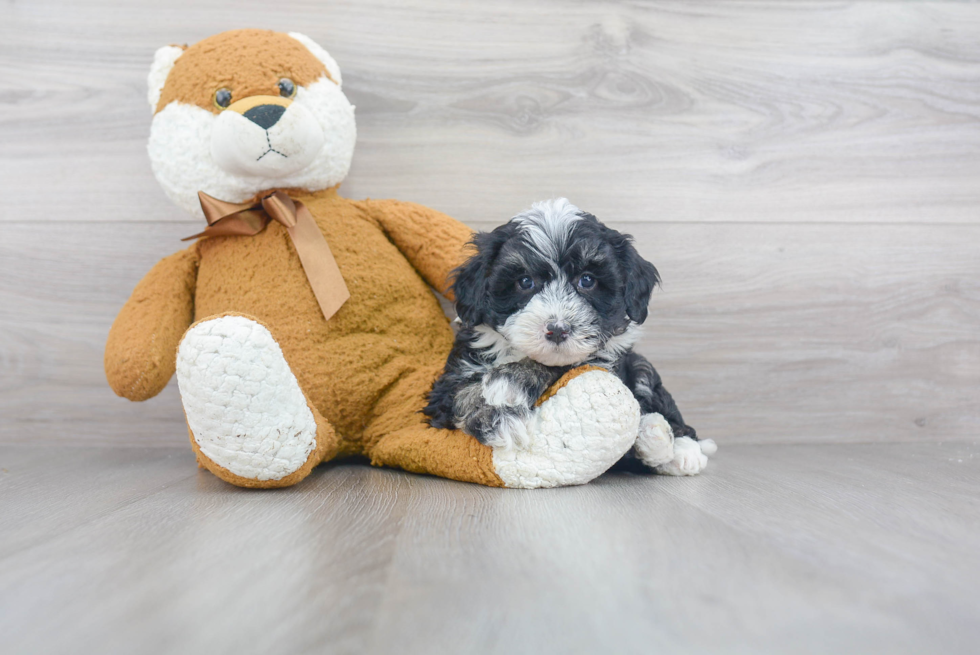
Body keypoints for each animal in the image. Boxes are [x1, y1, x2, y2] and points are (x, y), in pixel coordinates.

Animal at [424, 197, 716, 474]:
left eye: (587, 280)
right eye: (525, 282)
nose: (557, 329)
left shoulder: (604, 361)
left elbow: (566, 365)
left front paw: (510, 381)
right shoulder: (449, 384)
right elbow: (462, 395)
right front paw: (501, 420)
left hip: (640, 366)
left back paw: (677, 449)